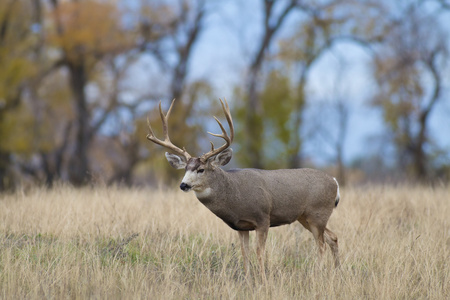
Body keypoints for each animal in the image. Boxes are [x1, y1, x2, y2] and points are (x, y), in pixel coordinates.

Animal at [146, 99, 340, 282]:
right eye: (185, 169)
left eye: (201, 169)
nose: (183, 185)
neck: (235, 195)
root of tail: (334, 181)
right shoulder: (241, 226)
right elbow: (244, 252)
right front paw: (247, 280)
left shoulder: (263, 218)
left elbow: (259, 252)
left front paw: (263, 281)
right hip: (305, 217)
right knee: (333, 237)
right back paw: (338, 272)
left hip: (317, 213)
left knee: (321, 244)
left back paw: (318, 275)